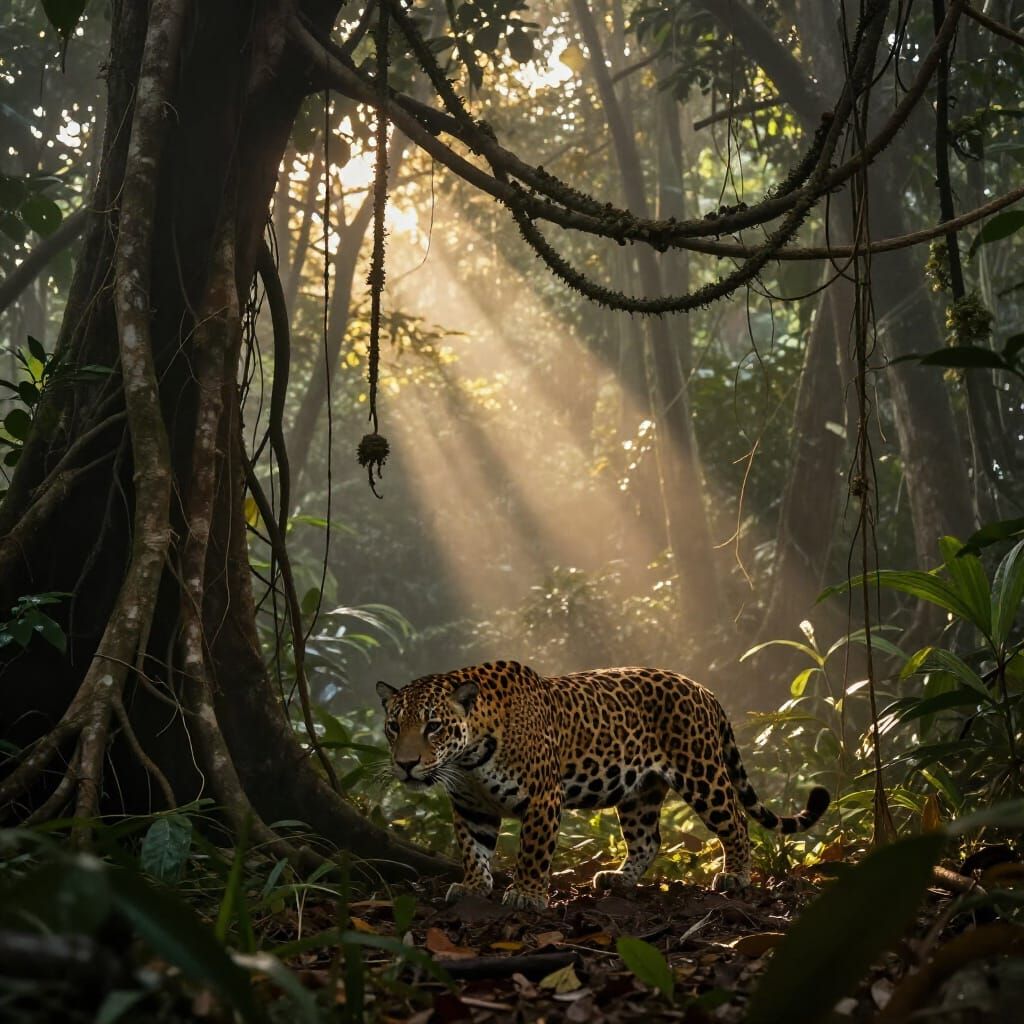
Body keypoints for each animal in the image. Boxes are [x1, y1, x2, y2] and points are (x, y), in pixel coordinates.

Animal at [376, 660, 830, 910]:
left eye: (434, 726)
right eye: (393, 726)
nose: (405, 765)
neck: (468, 759)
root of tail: (702, 688)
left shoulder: (544, 797)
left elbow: (532, 853)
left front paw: (526, 895)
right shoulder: (472, 807)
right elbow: (473, 850)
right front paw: (473, 887)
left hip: (700, 771)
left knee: (735, 819)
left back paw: (735, 876)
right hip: (639, 792)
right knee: (648, 839)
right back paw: (619, 880)